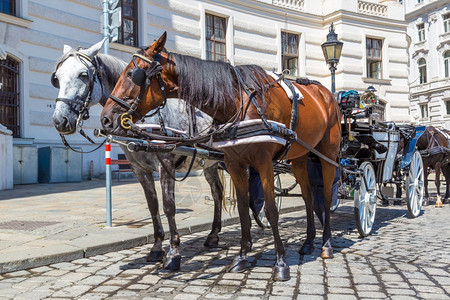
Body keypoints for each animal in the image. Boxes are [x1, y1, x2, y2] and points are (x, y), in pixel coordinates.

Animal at [51, 39, 224, 270]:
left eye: (83, 75)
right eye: (57, 78)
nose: (60, 120)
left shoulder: (165, 163)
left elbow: (169, 206)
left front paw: (173, 253)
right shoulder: (139, 169)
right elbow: (153, 206)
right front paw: (157, 248)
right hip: (211, 163)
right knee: (217, 192)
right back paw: (213, 235)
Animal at [100, 32, 340, 282]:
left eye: (132, 74)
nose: (106, 119)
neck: (239, 101)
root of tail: (326, 93)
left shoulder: (263, 163)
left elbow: (271, 210)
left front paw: (281, 263)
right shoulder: (235, 164)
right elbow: (243, 208)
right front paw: (241, 257)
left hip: (328, 154)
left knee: (325, 195)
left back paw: (326, 244)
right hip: (300, 157)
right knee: (308, 196)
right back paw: (308, 242)